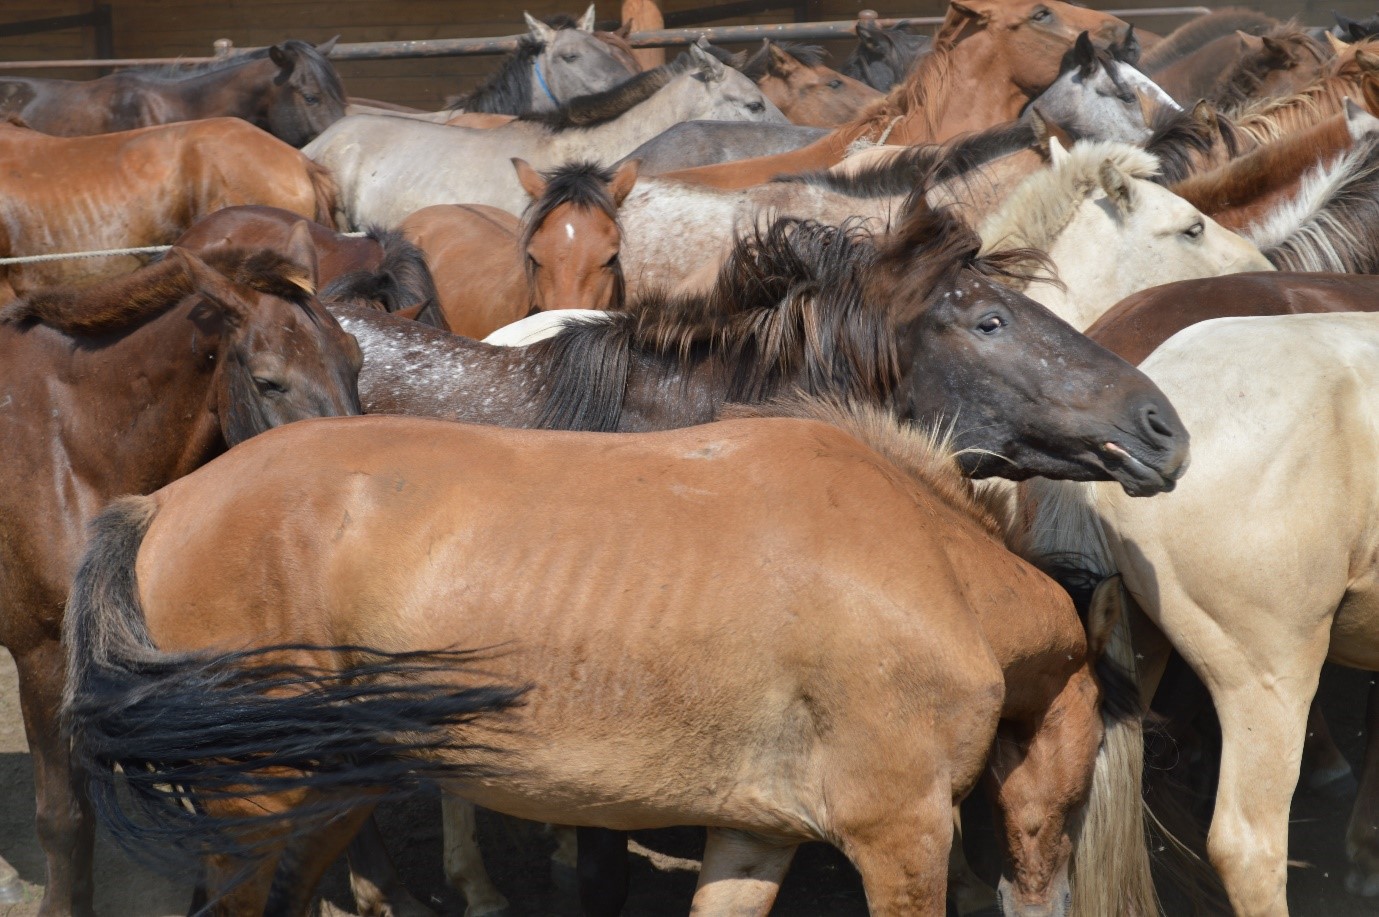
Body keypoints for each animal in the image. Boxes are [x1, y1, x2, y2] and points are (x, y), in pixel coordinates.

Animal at [63, 397, 1151, 917]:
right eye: (1088, 767)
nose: (1044, 897)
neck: (928, 567)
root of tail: (162, 502)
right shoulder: (902, 838)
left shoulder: (754, 837)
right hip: (258, 799)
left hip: (333, 792)